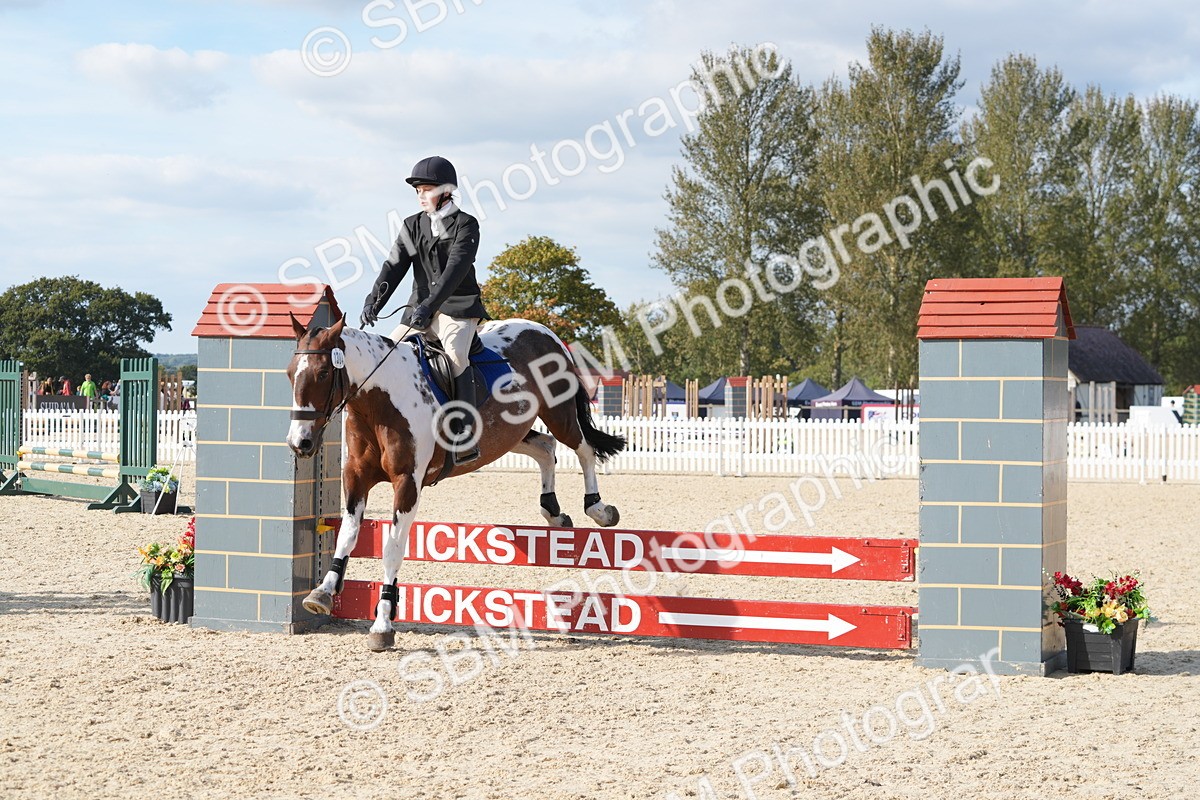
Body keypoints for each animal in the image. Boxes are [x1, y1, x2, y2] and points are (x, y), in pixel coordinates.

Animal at [285, 314, 626, 651]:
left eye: (323, 372)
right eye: (289, 374)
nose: (299, 443)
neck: (379, 400)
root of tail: (543, 331)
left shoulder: (407, 483)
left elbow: (392, 549)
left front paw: (382, 625)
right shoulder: (356, 477)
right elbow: (347, 535)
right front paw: (323, 592)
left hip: (558, 412)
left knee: (583, 449)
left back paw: (599, 509)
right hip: (512, 432)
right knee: (546, 448)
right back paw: (553, 512)